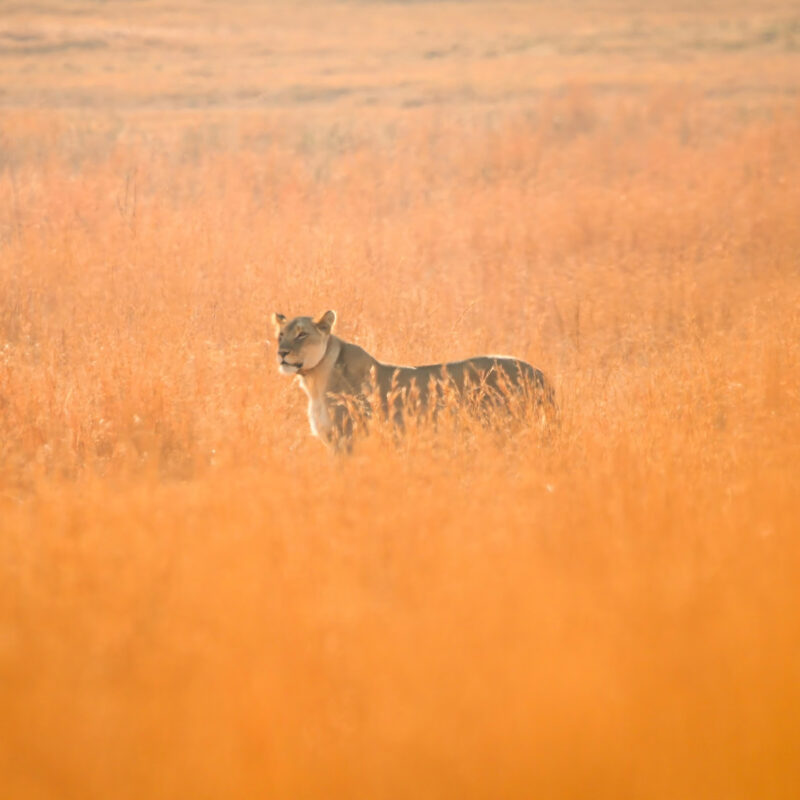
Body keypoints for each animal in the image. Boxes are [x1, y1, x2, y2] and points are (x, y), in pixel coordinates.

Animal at [271, 310, 555, 450]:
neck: (314, 380)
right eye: (280, 335)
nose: (281, 353)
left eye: (301, 335)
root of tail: (539, 373)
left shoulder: (348, 439)